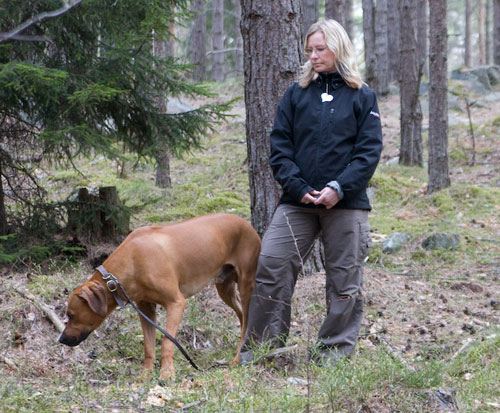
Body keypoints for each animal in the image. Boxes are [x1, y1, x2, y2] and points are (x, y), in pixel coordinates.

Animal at [60, 214, 260, 378]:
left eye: (71, 315)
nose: (61, 339)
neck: (133, 261)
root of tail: (245, 222)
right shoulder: (145, 309)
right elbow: (148, 346)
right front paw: (145, 375)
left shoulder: (176, 303)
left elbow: (166, 342)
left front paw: (167, 373)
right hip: (224, 286)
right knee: (241, 316)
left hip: (246, 283)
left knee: (247, 318)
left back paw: (237, 358)